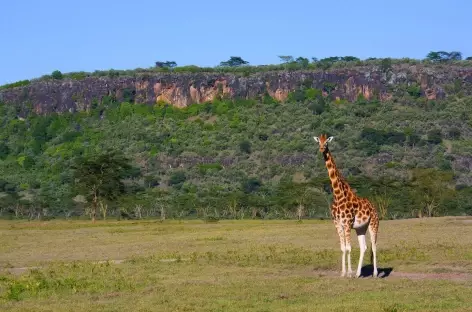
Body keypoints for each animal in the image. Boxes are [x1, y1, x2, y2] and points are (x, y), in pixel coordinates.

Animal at [314, 134, 380, 278]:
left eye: (326, 142)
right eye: (318, 142)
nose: (321, 149)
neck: (338, 195)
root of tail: (374, 207)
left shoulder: (348, 223)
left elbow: (349, 248)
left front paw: (348, 273)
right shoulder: (338, 224)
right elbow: (343, 248)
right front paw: (344, 273)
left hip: (373, 223)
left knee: (374, 246)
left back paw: (375, 273)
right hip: (361, 228)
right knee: (364, 247)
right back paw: (358, 273)